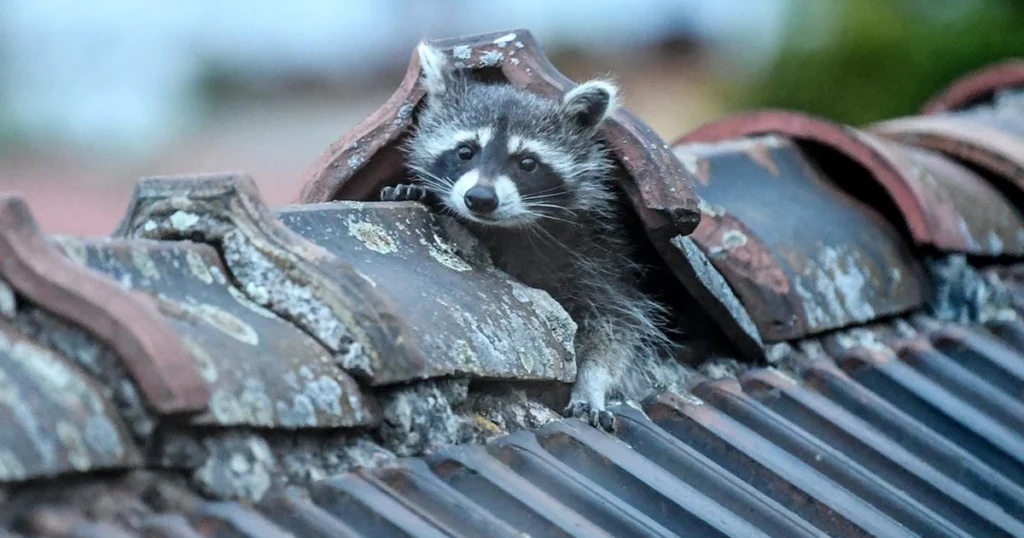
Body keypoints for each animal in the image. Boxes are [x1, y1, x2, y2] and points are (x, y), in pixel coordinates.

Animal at [380, 42, 684, 430]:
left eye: (527, 163)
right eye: (465, 151)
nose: (480, 198)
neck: (506, 226)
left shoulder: (602, 253)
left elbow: (615, 326)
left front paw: (591, 382)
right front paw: (414, 190)